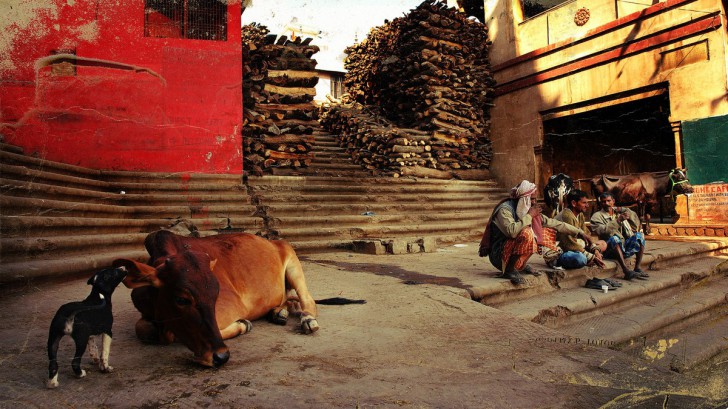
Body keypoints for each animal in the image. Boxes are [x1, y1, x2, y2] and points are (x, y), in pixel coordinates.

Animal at [114, 230, 344, 366]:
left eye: (215, 294)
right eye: (181, 300)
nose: (221, 356)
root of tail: (273, 241)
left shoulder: (230, 307)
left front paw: (242, 325)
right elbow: (144, 329)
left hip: (293, 263)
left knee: (307, 301)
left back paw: (307, 320)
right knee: (289, 300)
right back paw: (279, 312)